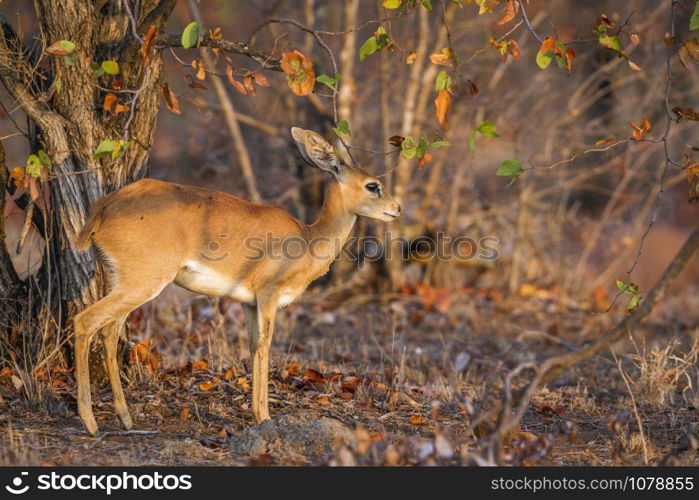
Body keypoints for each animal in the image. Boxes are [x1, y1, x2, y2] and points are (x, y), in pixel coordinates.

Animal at [72, 127, 402, 436]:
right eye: (372, 185)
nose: (396, 208)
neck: (308, 238)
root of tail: (102, 208)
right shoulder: (269, 296)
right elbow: (266, 345)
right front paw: (266, 416)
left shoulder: (248, 302)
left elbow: (253, 345)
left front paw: (256, 414)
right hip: (142, 283)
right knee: (85, 321)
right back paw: (90, 423)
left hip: (127, 284)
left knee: (109, 331)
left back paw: (125, 418)